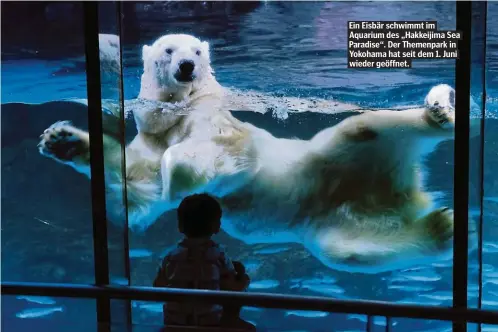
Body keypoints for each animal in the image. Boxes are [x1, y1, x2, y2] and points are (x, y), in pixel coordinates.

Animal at [39, 33, 466, 272]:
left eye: (197, 51)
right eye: (168, 50)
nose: (187, 65)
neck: (175, 115)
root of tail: (398, 192)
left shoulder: (221, 127)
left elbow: (215, 154)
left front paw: (179, 178)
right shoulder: (151, 138)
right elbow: (138, 189)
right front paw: (63, 140)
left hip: (332, 152)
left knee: (364, 126)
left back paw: (439, 110)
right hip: (331, 220)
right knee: (350, 251)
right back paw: (440, 228)